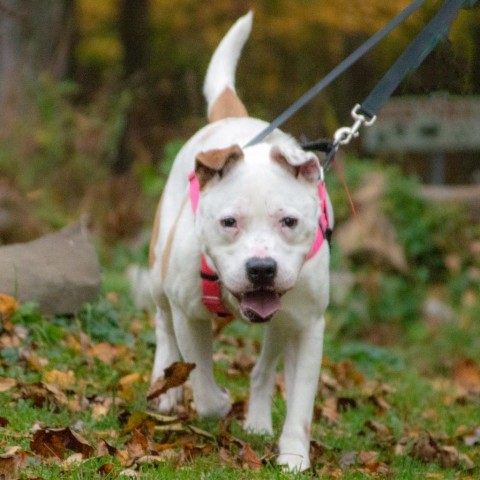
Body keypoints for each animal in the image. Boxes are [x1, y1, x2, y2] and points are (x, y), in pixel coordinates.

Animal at [150, 12, 334, 472]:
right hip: (159, 271)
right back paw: (167, 386)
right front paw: (213, 400)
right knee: (162, 324)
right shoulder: (190, 313)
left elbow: (301, 404)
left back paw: (258, 421)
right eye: (229, 222)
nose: (262, 268)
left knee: (263, 369)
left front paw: (293, 456)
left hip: (283, 323)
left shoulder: (308, 327)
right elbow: (200, 378)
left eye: (289, 221)